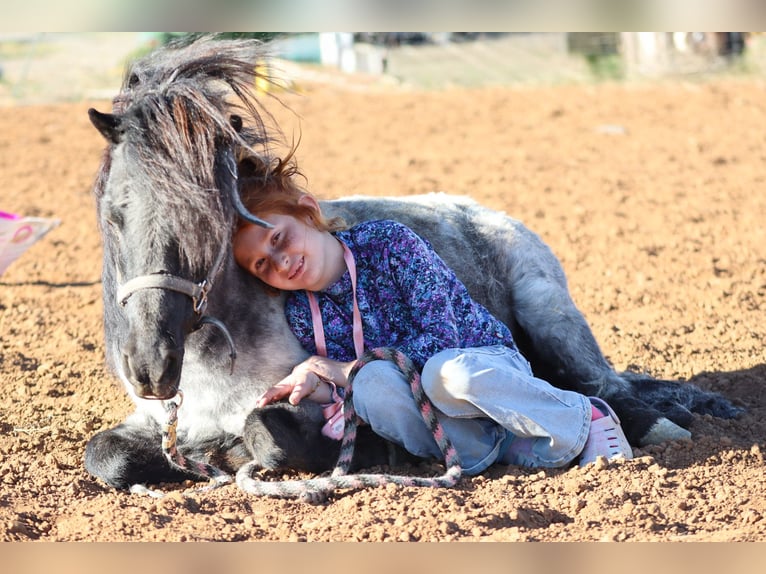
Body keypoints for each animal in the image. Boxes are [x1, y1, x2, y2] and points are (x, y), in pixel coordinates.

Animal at [83, 35, 742, 492]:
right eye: (114, 214)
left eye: (210, 219)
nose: (148, 366)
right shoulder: (157, 421)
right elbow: (106, 455)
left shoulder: (312, 404)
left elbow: (265, 433)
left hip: (549, 314)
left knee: (603, 386)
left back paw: (663, 422)